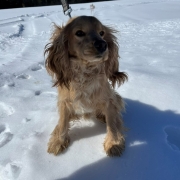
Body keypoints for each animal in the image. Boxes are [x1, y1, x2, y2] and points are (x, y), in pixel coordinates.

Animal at [44, 15, 127, 156]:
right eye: (79, 33)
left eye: (102, 33)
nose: (102, 44)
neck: (85, 70)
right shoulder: (64, 101)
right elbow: (63, 121)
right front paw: (58, 141)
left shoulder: (109, 99)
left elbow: (112, 122)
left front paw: (113, 143)